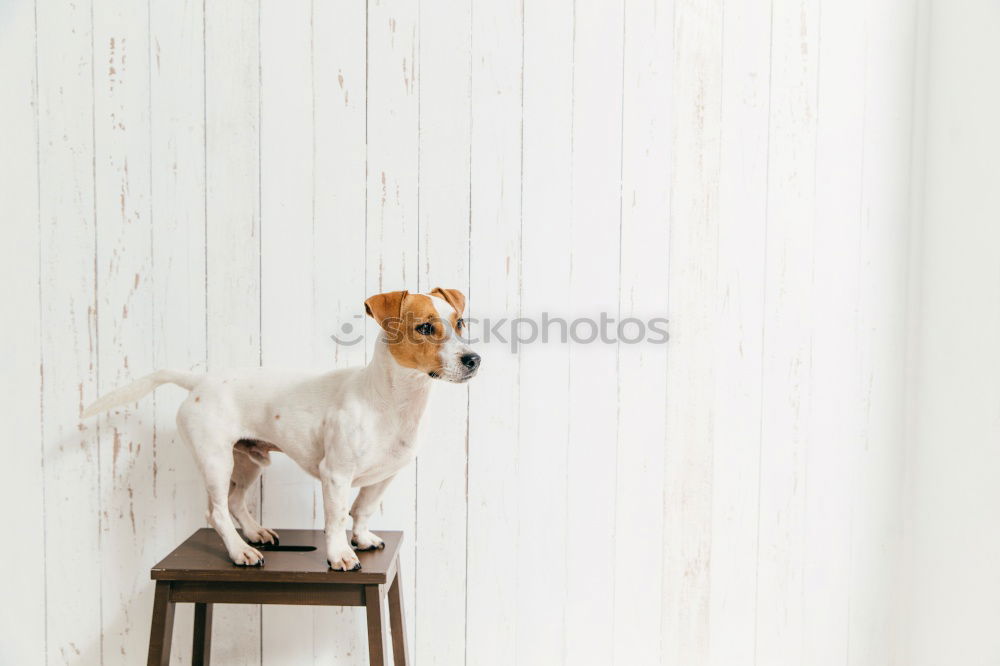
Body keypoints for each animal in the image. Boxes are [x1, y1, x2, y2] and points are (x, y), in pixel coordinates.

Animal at [82, 288, 480, 568]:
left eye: (460, 322)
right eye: (425, 328)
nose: (473, 359)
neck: (391, 401)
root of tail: (199, 382)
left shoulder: (386, 475)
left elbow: (363, 509)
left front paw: (363, 538)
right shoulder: (335, 475)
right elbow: (337, 517)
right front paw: (340, 555)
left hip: (249, 461)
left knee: (235, 501)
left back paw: (255, 532)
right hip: (216, 461)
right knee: (217, 511)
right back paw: (240, 550)